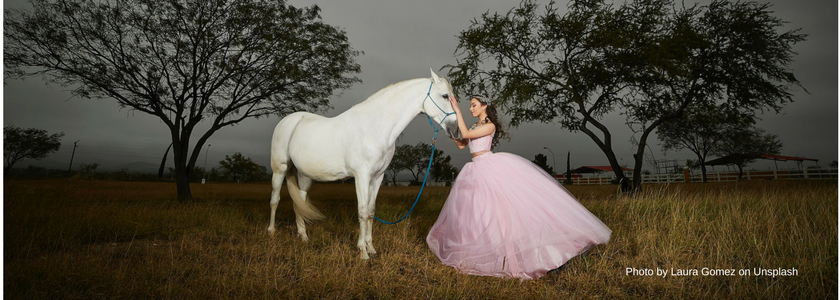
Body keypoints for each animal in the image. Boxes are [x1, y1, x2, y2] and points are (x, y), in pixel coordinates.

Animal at [270, 69, 460, 258]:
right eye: (445, 96)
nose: (456, 131)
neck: (374, 127)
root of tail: (288, 120)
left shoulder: (377, 178)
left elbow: (370, 212)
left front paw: (371, 248)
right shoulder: (361, 176)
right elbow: (362, 212)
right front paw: (362, 252)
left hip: (305, 176)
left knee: (299, 202)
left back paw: (303, 237)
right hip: (280, 170)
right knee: (275, 199)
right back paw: (271, 232)